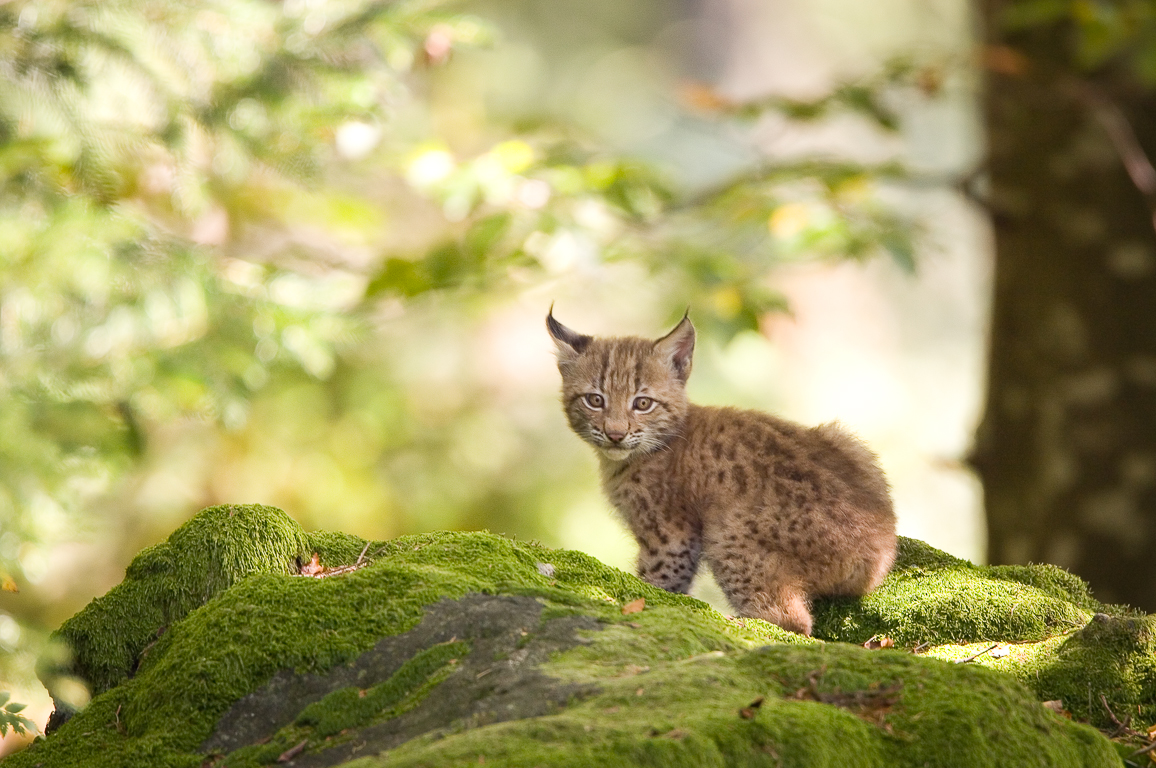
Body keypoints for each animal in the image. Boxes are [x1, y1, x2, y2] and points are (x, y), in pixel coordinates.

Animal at [545, 309, 897, 633]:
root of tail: (878, 554)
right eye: (595, 400)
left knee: (793, 621)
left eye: (643, 404)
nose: (615, 434)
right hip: (847, 440)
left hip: (725, 527)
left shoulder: (671, 535)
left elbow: (658, 579)